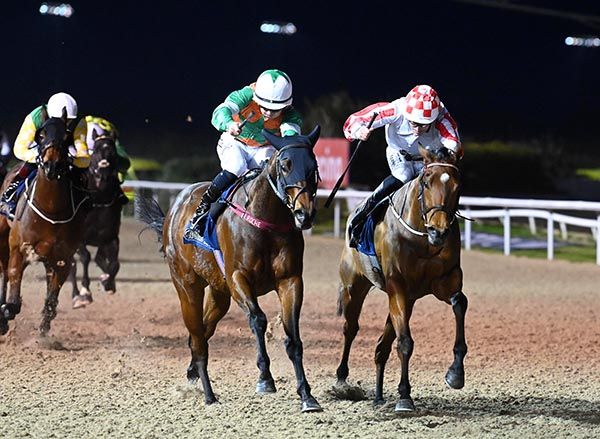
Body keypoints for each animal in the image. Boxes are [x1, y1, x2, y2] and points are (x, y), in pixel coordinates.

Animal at [0, 115, 90, 336]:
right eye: (41, 135)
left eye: (66, 136)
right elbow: (12, 295)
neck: (50, 209)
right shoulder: (19, 249)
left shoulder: (62, 259)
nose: (52, 165)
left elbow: (51, 301)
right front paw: (6, 311)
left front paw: (43, 334)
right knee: (3, 270)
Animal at [68, 131, 124, 310]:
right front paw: (85, 292)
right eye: (95, 151)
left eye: (112, 151)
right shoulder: (78, 238)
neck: (98, 201)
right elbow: (85, 258)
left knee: (99, 258)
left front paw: (108, 282)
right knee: (71, 266)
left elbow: (114, 264)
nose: (103, 169)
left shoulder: (111, 238)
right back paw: (76, 296)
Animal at [137, 126, 324, 412]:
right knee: (198, 336)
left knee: (202, 332)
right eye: (285, 164)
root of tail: (176, 207)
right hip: (187, 286)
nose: (305, 214)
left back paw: (193, 372)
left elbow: (293, 338)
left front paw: (306, 395)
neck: (265, 220)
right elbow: (258, 319)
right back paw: (208, 394)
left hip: (218, 292)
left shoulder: (290, 280)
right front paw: (265, 378)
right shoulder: (238, 278)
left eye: (313, 166)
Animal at [336, 146, 466, 414]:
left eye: (457, 186)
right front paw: (405, 397)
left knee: (381, 347)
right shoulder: (397, 285)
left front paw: (456, 374)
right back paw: (342, 380)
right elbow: (405, 341)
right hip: (355, 286)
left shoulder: (443, 281)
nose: (438, 231)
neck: (422, 239)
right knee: (350, 328)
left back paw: (378, 396)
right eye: (426, 181)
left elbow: (460, 302)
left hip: (407, 300)